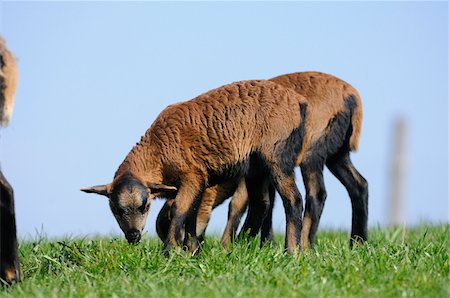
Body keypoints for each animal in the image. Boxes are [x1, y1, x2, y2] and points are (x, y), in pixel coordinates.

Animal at [81, 79, 310, 254]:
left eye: (145, 206)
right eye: (116, 209)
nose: (133, 235)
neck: (157, 150)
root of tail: (299, 102)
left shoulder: (192, 176)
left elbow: (179, 210)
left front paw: (170, 251)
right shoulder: (201, 181)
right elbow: (191, 215)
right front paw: (192, 252)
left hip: (277, 156)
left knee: (293, 200)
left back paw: (291, 252)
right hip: (256, 168)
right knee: (260, 204)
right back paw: (240, 247)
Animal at [156, 71, 368, 248]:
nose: (186, 248)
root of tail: (351, 96)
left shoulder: (251, 173)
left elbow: (239, 205)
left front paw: (231, 245)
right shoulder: (262, 173)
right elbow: (267, 204)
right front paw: (265, 244)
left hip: (312, 152)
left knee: (316, 194)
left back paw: (304, 247)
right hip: (337, 153)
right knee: (359, 185)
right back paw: (358, 243)